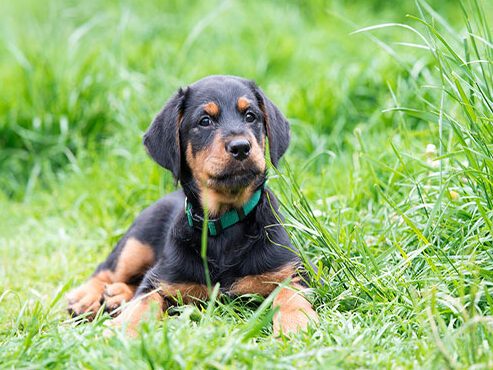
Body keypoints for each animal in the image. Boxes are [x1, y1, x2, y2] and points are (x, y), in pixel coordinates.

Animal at [66, 75, 320, 336]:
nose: (241, 147)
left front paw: (297, 323)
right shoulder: (161, 279)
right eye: (205, 121)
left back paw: (115, 295)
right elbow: (144, 300)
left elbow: (290, 293)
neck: (224, 222)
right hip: (136, 241)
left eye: (250, 116)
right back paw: (86, 298)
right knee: (107, 268)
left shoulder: (297, 269)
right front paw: (123, 329)